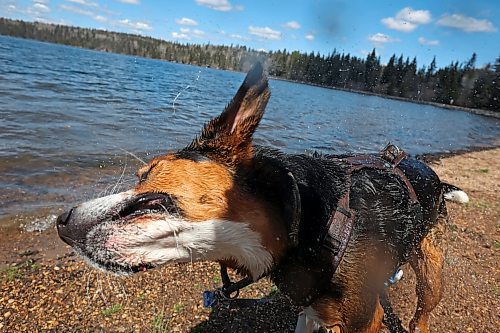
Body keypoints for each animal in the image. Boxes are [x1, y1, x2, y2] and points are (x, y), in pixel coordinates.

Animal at [57, 63, 468, 332]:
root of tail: (426, 169)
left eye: (147, 173)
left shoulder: (365, 319)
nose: (60, 222)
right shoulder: (315, 313)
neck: (308, 223)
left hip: (431, 274)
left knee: (422, 313)